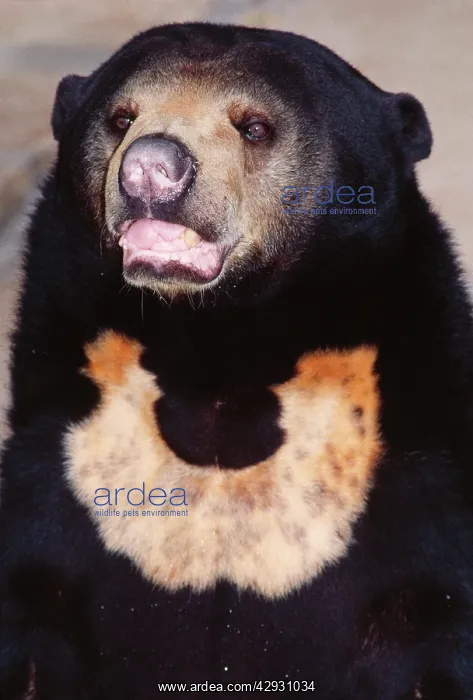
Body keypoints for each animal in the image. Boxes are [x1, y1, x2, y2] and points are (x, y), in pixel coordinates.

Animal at [0, 21, 473, 700]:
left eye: (253, 127)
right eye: (121, 118)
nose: (151, 169)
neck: (218, 352)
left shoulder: (408, 474)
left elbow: (427, 623)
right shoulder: (64, 459)